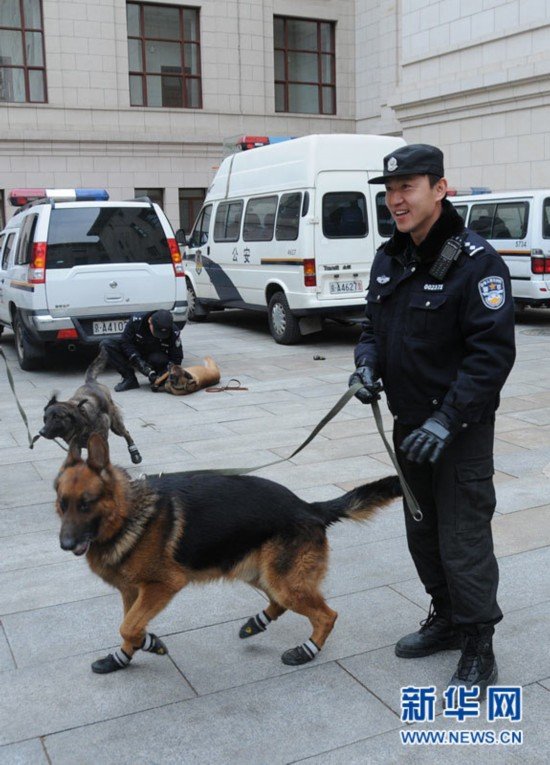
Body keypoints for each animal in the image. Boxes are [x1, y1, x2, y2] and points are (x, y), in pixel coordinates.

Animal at [54, 436, 404, 676]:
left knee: (326, 615)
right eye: (62, 503)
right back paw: (255, 624)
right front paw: (126, 655)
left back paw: (306, 651)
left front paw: (149, 643)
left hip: (284, 581)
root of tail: (309, 507)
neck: (128, 513)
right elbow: (130, 625)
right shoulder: (132, 592)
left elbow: (128, 626)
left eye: (86, 504)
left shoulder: (163, 585)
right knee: (280, 603)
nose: (64, 544)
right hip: (259, 573)